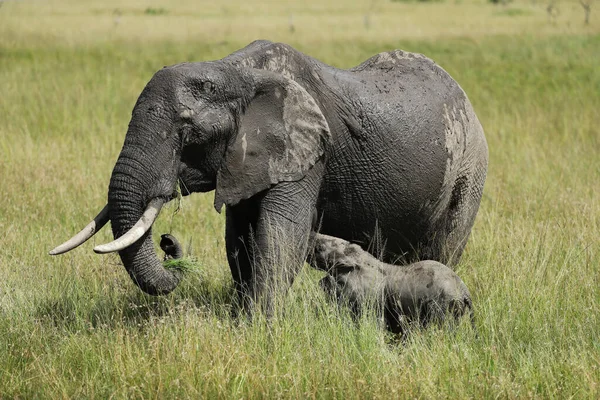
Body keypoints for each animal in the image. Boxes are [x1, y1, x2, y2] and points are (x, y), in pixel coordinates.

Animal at [50, 40, 488, 308]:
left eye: (188, 131)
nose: (168, 243)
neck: (235, 71)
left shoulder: (306, 152)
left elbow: (279, 233)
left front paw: (261, 326)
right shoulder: (245, 161)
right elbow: (239, 236)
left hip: (469, 173)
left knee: (444, 248)